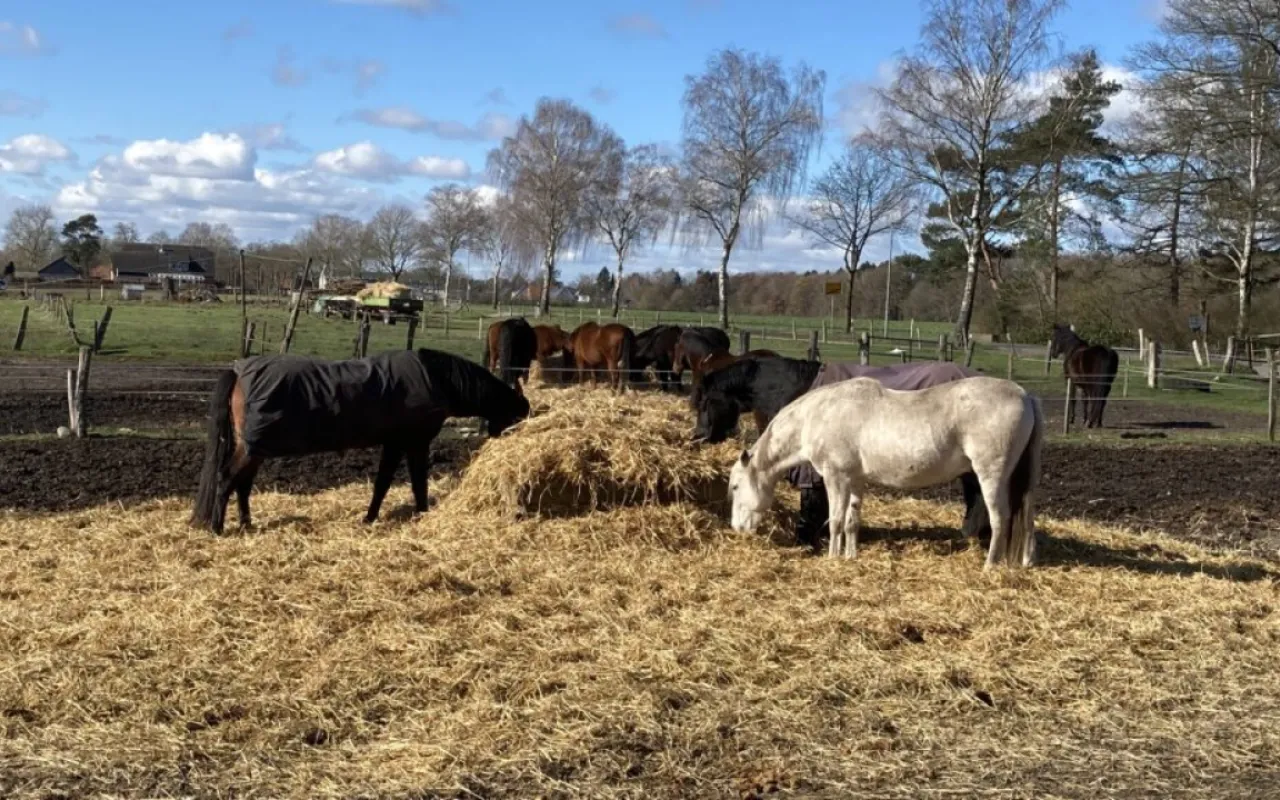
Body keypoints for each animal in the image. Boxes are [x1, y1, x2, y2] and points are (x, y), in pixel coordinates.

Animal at [188, 348, 529, 529]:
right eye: (518, 416)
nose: (503, 438)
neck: (436, 378)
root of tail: (238, 372)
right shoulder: (416, 442)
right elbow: (419, 482)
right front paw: (422, 514)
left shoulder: (394, 443)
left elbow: (382, 484)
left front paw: (370, 518)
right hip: (251, 448)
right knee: (226, 478)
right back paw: (217, 527)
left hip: (255, 447)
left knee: (242, 485)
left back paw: (246, 524)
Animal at [732, 373, 1039, 568]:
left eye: (734, 487)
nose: (737, 529)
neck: (817, 416)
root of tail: (1025, 394)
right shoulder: (855, 480)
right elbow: (852, 521)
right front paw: (850, 557)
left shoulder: (836, 478)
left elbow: (835, 521)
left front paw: (832, 559)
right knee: (1026, 517)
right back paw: (1024, 561)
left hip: (991, 475)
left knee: (1000, 518)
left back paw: (990, 565)